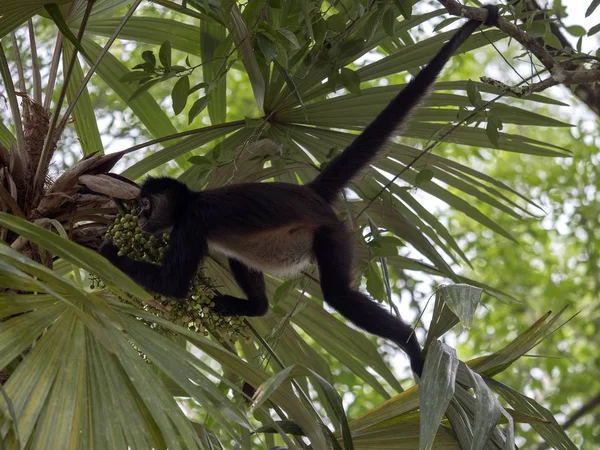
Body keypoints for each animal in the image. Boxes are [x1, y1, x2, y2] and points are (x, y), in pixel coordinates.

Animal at [102, 7, 496, 376]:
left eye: (146, 204)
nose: (139, 216)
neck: (189, 202)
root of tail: (309, 192)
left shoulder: (192, 223)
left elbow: (172, 283)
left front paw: (105, 252)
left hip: (332, 232)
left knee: (339, 295)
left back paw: (411, 343)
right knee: (241, 255)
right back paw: (256, 307)